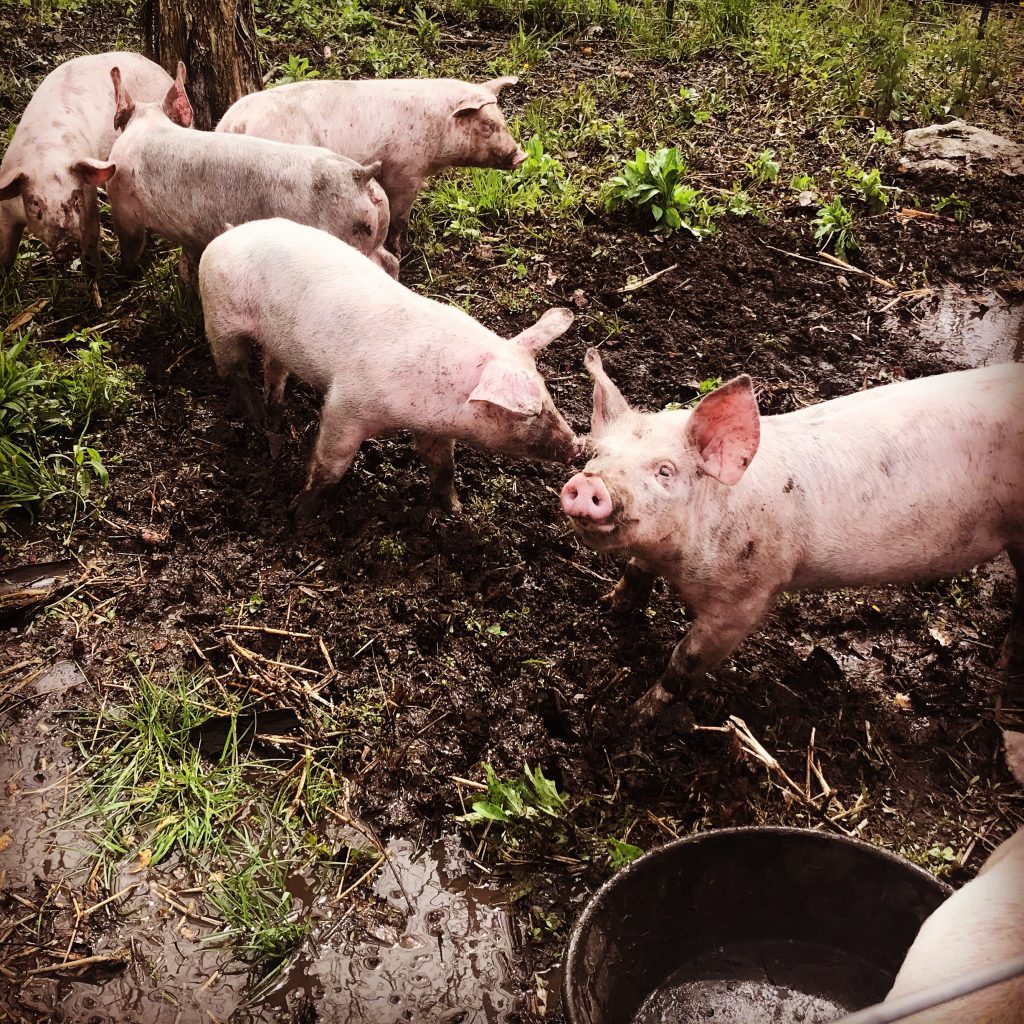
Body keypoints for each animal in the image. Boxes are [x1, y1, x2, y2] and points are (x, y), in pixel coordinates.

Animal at [0, 52, 174, 272]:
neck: (46, 158)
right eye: (35, 202)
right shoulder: (6, 209)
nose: (67, 244)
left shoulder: (88, 197)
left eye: (75, 197)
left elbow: (91, 236)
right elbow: (6, 248)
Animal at [102, 63, 396, 279]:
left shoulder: (122, 205)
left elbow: (130, 245)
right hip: (376, 232)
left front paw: (125, 274)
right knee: (390, 261)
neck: (148, 124)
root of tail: (360, 177)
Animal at [197, 218, 578, 521]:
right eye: (530, 413)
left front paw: (455, 511)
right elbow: (331, 463)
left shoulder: (433, 426)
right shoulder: (346, 405)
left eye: (548, 395)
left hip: (277, 342)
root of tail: (227, 234)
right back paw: (255, 417)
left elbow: (443, 465)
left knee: (273, 372)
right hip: (219, 316)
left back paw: (275, 420)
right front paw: (300, 512)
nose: (578, 447)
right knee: (232, 370)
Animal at [215, 76, 527, 257]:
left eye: (502, 120)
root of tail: (234, 123)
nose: (521, 156)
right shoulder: (405, 170)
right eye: (487, 126)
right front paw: (403, 249)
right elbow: (400, 214)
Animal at [561, 349, 1024, 725]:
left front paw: (634, 717)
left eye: (664, 471)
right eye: (597, 455)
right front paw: (608, 606)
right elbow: (635, 571)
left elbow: (685, 660)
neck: (676, 560)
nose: (588, 483)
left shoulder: (747, 597)